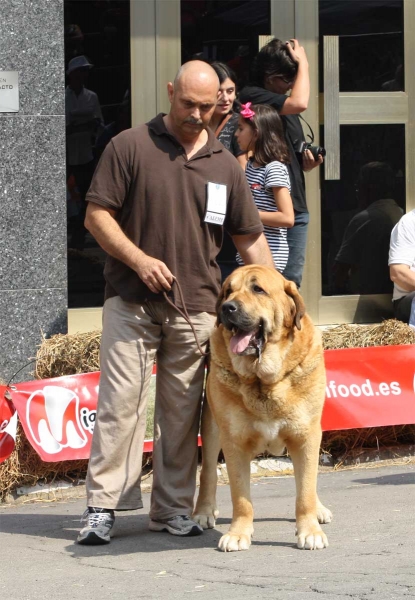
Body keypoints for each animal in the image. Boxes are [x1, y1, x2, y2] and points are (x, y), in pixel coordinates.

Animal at [193, 268, 334, 552]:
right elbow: (240, 498)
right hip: (212, 429)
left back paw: (319, 509)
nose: (227, 307)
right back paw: (203, 511)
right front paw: (238, 533)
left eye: (258, 289)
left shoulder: (307, 436)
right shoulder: (233, 441)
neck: (264, 380)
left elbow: (305, 489)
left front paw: (310, 530)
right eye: (228, 291)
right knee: (208, 472)